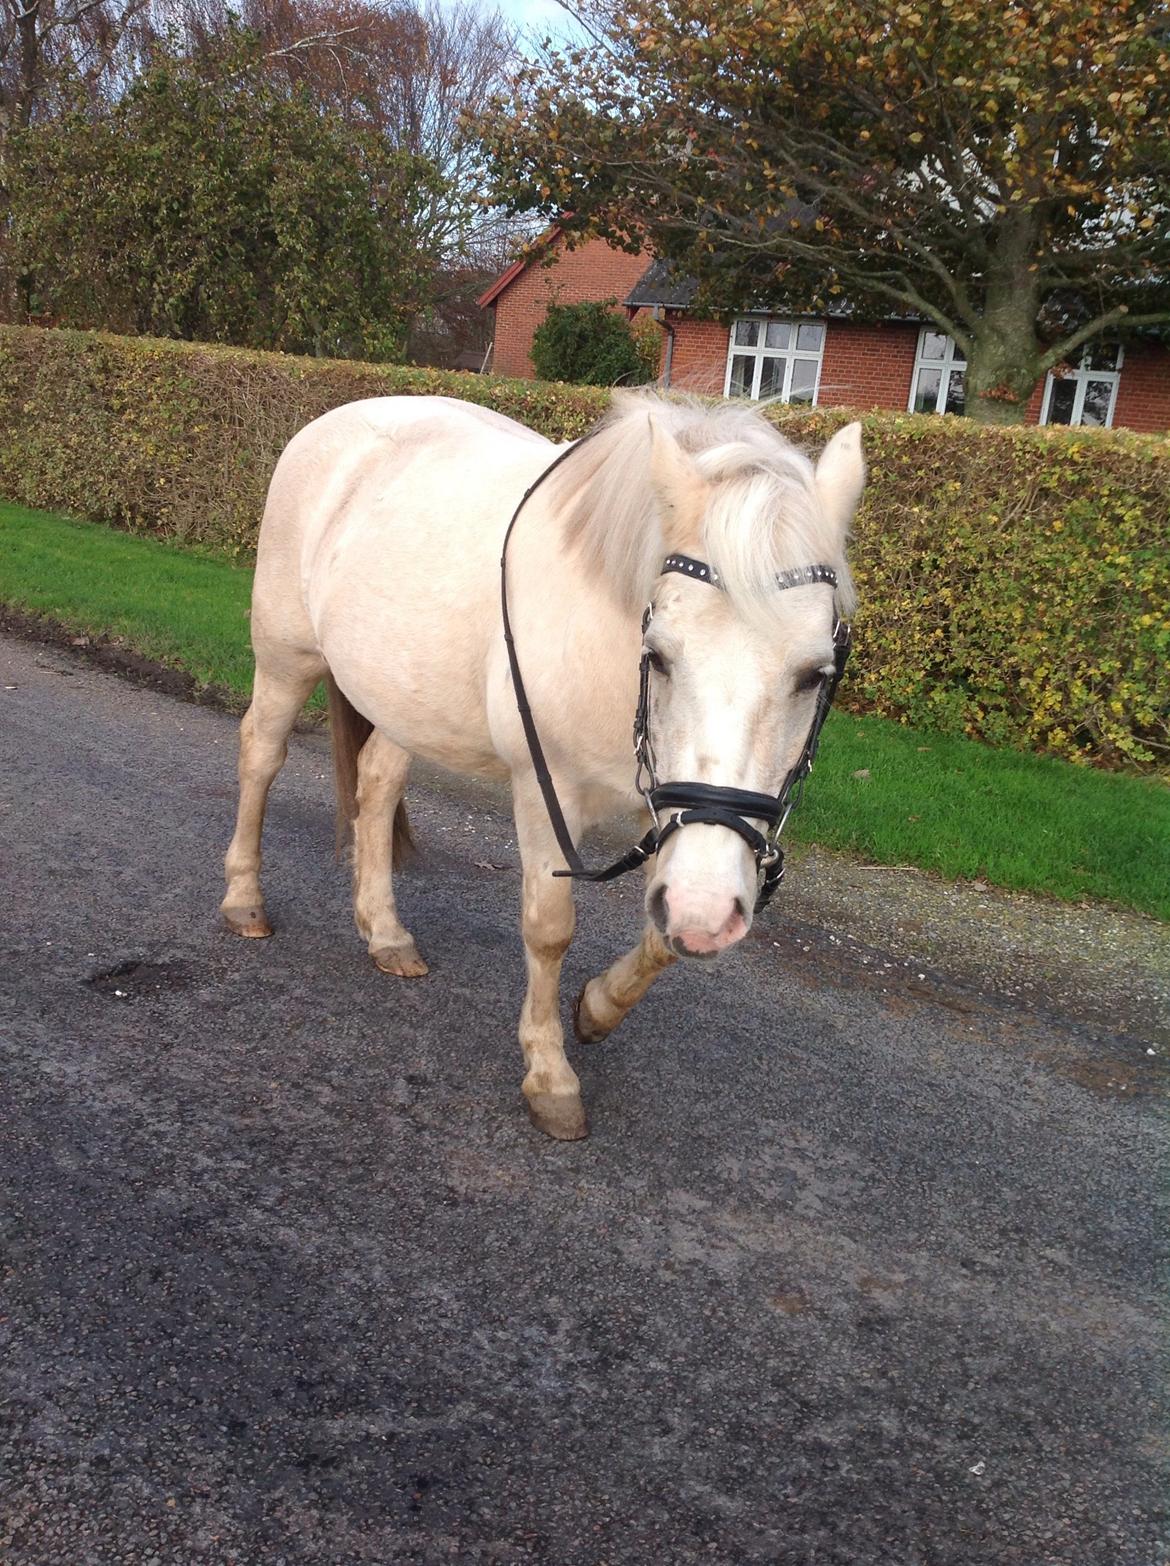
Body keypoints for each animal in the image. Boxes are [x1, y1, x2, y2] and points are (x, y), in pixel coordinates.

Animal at [222, 394, 858, 1140]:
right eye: (659, 654)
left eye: (814, 675)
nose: (706, 911)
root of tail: (337, 419)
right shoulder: (546, 790)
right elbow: (550, 930)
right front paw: (549, 1074)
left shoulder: (684, 822)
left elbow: (664, 933)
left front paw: (598, 1007)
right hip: (285, 659)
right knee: (261, 757)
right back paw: (244, 898)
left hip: (404, 698)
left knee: (376, 783)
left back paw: (385, 931)